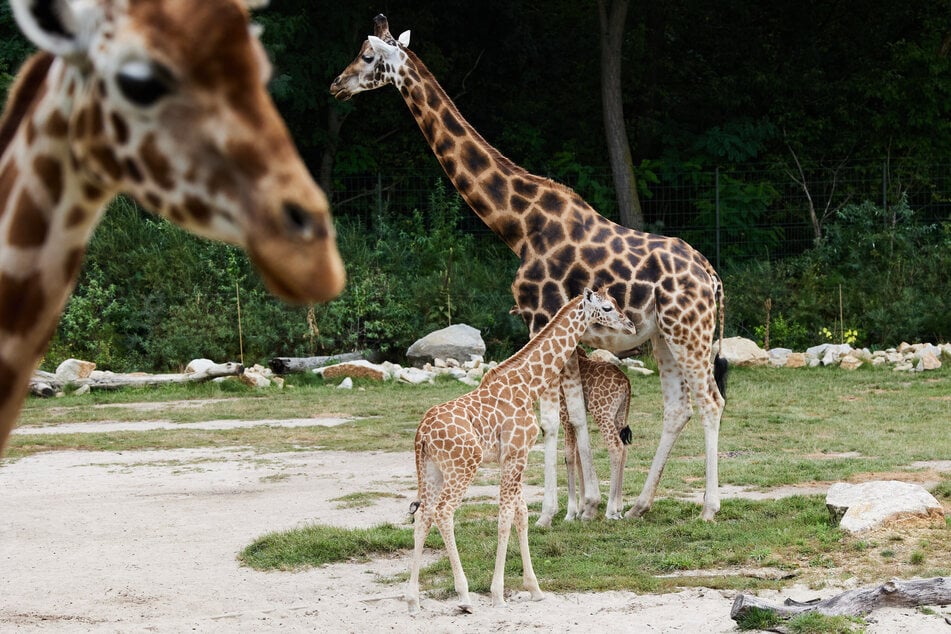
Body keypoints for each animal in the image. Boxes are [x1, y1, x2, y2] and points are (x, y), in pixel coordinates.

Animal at [332, 16, 728, 524]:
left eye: (366, 56)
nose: (336, 85)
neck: (517, 225)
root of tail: (713, 278)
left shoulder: (541, 319)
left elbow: (552, 421)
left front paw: (554, 511)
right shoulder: (560, 330)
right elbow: (572, 417)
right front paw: (584, 506)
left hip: (689, 332)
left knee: (710, 401)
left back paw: (708, 508)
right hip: (664, 336)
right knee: (677, 407)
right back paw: (639, 504)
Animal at [406, 288, 636, 612]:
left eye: (616, 302)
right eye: (607, 308)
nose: (630, 325)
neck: (527, 385)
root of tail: (421, 434)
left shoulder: (514, 457)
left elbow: (521, 514)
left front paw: (534, 588)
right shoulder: (516, 453)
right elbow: (505, 517)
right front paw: (498, 593)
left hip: (431, 469)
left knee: (423, 515)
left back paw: (413, 600)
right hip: (463, 466)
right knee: (444, 513)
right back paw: (464, 596)